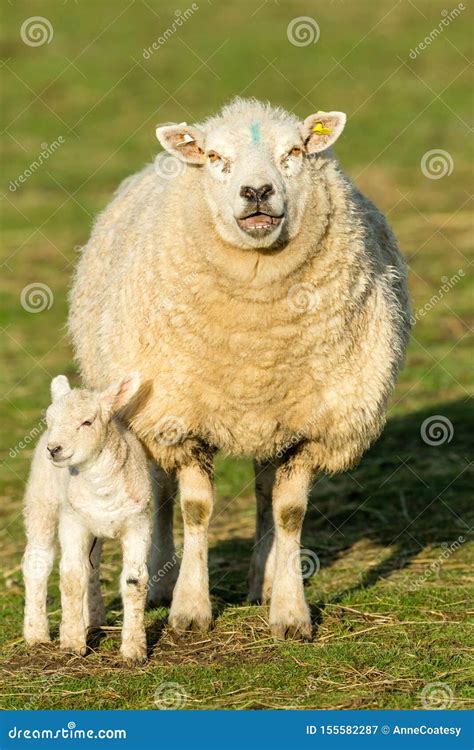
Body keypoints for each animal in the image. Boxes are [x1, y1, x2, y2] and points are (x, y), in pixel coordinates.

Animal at [22, 374, 150, 668]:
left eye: (87, 422)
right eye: (49, 420)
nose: (54, 449)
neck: (102, 487)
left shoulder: (138, 522)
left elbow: (135, 581)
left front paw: (134, 650)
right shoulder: (73, 521)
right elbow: (70, 576)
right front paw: (71, 643)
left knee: (91, 567)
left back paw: (93, 618)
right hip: (41, 498)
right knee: (37, 560)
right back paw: (36, 633)